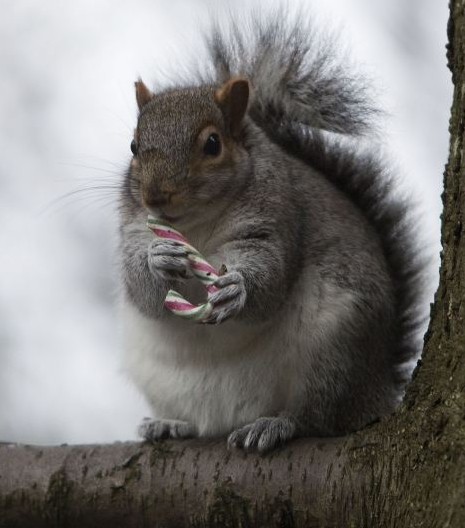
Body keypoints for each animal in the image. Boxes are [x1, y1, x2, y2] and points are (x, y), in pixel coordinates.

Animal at [118, 12, 426, 452]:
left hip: (335, 351)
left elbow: (270, 277)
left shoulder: (275, 219)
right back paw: (170, 424)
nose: (155, 196)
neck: (196, 225)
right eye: (133, 146)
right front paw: (159, 259)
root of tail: (378, 388)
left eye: (212, 144)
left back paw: (276, 425)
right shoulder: (132, 230)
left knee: (320, 417)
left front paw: (237, 289)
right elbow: (141, 288)